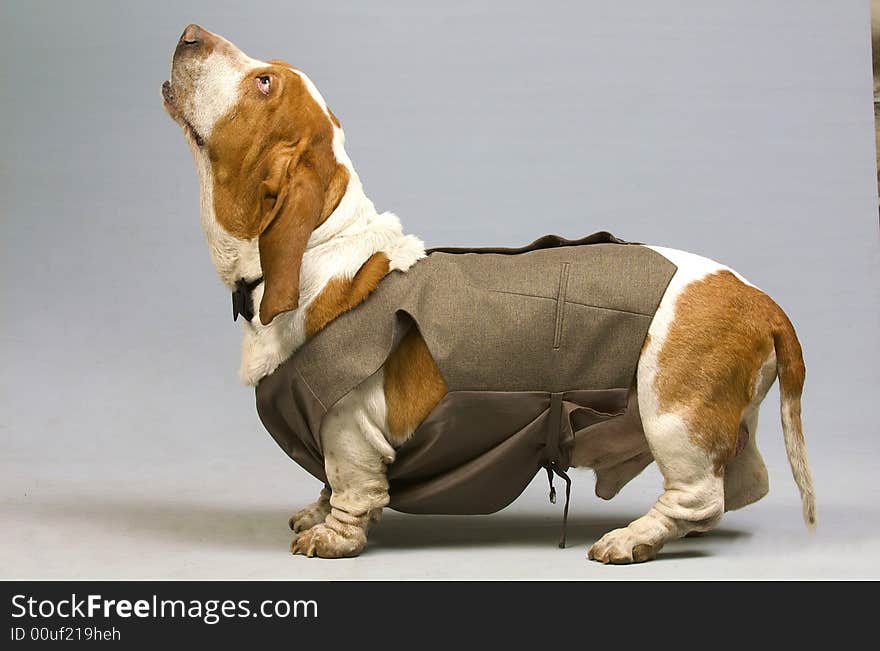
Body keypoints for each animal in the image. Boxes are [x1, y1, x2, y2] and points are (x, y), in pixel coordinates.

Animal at [162, 25, 816, 564]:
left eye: (264, 82)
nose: (190, 31)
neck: (325, 243)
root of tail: (762, 303)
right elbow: (326, 484)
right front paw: (314, 513)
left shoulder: (349, 428)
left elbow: (350, 484)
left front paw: (332, 536)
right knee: (745, 482)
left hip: (673, 417)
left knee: (699, 496)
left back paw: (631, 540)